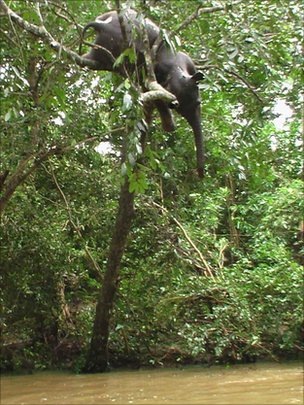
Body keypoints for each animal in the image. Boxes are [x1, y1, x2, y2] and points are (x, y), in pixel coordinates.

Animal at [81, 9, 204, 177]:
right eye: (197, 103)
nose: (200, 174)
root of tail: (101, 26)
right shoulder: (154, 72)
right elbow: (153, 93)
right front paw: (170, 125)